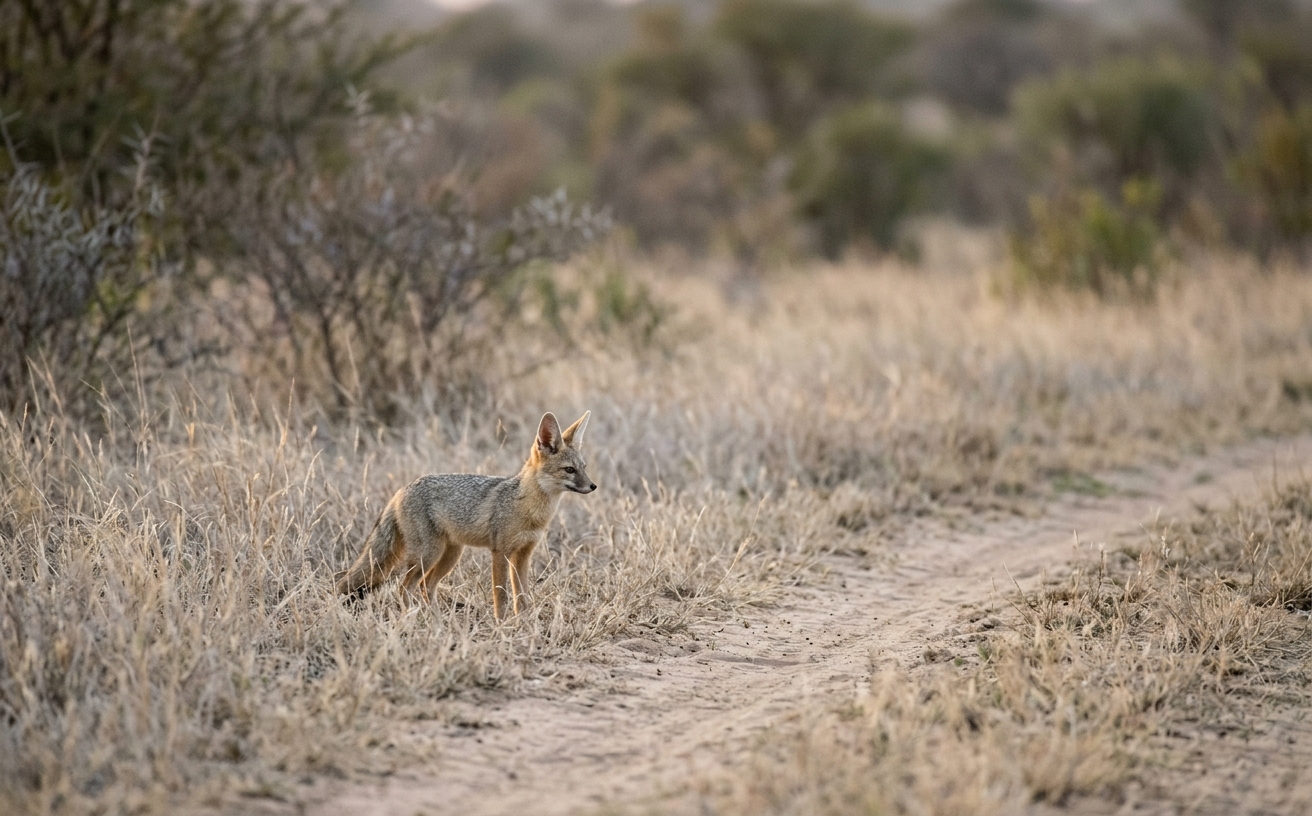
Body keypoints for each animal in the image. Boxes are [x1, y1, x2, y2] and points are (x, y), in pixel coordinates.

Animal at [336, 411, 596, 619]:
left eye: (584, 467)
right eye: (569, 470)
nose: (593, 486)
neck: (529, 509)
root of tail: (401, 489)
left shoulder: (523, 555)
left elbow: (521, 595)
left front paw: (524, 623)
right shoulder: (500, 552)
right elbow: (501, 594)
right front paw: (501, 624)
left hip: (450, 555)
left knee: (426, 586)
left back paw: (438, 622)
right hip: (428, 555)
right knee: (404, 588)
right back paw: (414, 620)